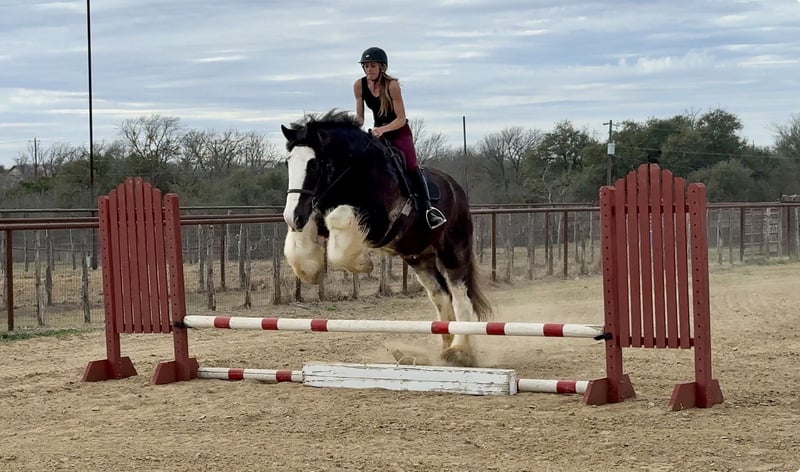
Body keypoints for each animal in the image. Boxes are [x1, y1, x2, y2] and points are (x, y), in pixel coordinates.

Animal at [280, 109, 492, 367]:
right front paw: (310, 270)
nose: (292, 216)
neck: (355, 169)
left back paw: (460, 351)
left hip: (452, 249)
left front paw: (362, 264)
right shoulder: (316, 214)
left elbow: (338, 221)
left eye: (313, 164)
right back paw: (441, 349)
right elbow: (301, 238)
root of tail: (456, 189)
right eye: (288, 162)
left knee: (461, 296)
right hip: (418, 257)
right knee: (440, 294)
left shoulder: (380, 222)